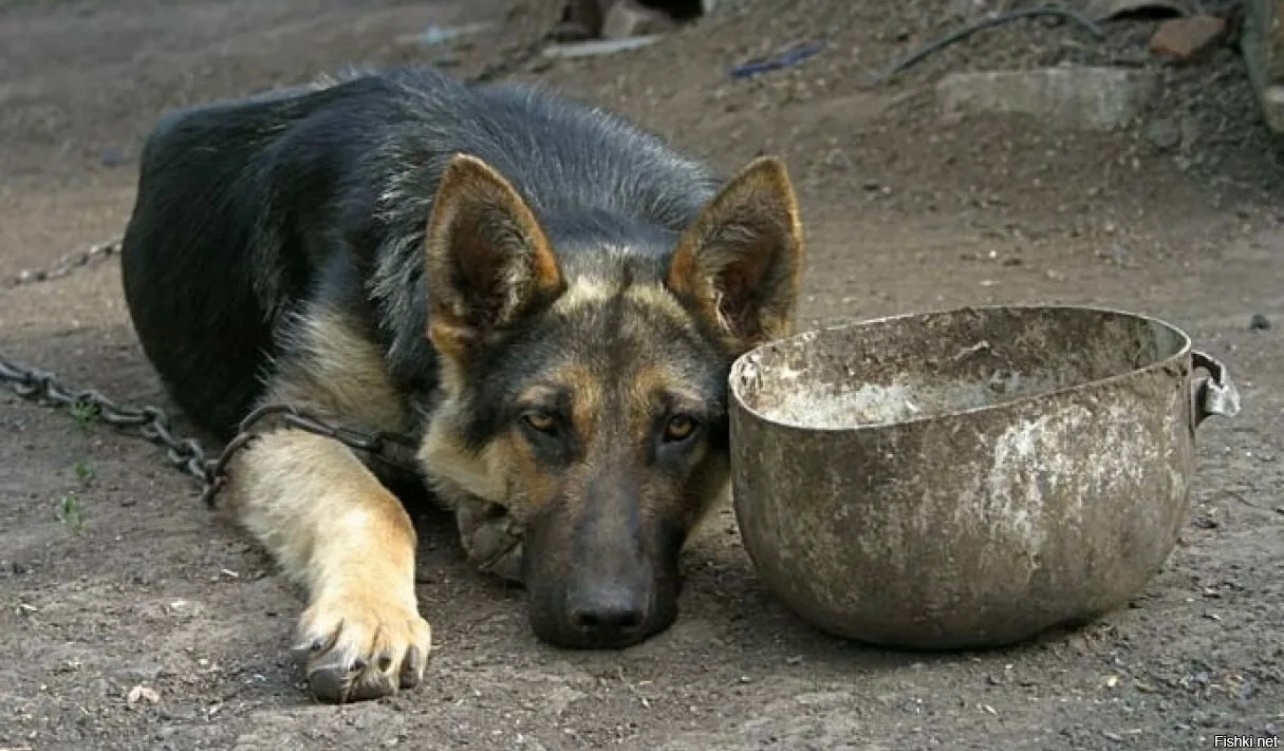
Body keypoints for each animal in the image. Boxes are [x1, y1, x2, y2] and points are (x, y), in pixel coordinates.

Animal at [118, 64, 801, 703]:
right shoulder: (283, 425)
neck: (574, 193)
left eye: (679, 427)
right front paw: (370, 617)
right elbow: (374, 504)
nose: (607, 619)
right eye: (542, 422)